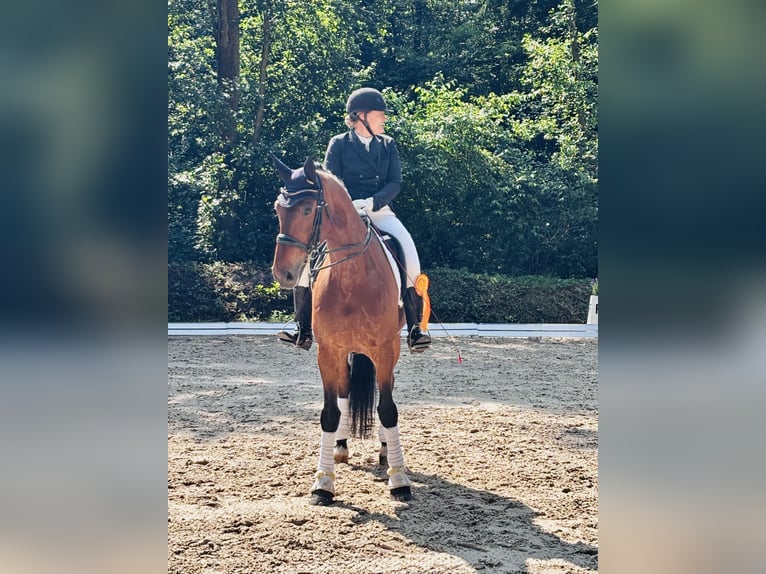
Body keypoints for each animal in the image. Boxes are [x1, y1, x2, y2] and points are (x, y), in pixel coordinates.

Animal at [270, 155, 413, 505]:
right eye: (278, 209)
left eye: (308, 210)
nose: (284, 273)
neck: (353, 276)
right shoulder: (328, 352)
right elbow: (329, 413)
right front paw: (323, 483)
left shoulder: (384, 350)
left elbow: (387, 409)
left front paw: (399, 480)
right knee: (347, 389)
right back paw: (340, 446)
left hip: (391, 348)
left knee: (384, 393)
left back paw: (386, 450)